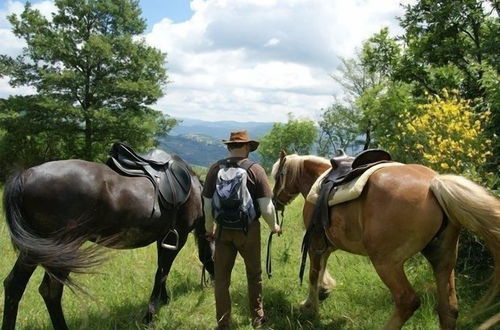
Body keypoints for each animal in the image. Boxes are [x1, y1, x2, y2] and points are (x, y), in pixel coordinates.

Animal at [0, 151, 215, 328]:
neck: (193, 190)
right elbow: (161, 272)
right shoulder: (178, 236)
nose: (212, 284)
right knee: (50, 290)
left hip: (35, 249)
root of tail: (26, 175)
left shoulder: (164, 238)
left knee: (14, 285)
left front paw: (164, 299)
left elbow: (161, 269)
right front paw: (150, 315)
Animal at [274, 152, 500, 330]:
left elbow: (313, 273)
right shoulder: (328, 243)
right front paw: (324, 289)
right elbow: (322, 267)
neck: (318, 182)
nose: (276, 201)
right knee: (448, 309)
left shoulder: (315, 243)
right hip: (443, 260)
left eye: (277, 175)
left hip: (386, 263)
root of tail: (434, 185)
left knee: (407, 301)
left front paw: (310, 306)